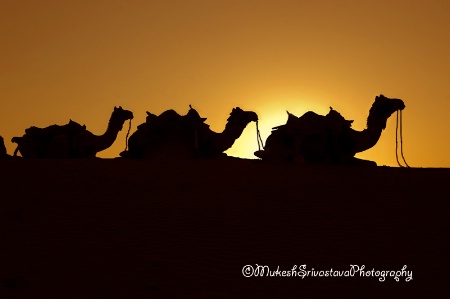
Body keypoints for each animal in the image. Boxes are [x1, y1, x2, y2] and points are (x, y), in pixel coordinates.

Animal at [255, 95, 406, 166]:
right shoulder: (343, 158)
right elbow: (373, 163)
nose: (401, 102)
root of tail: (269, 140)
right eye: (387, 103)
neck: (354, 139)